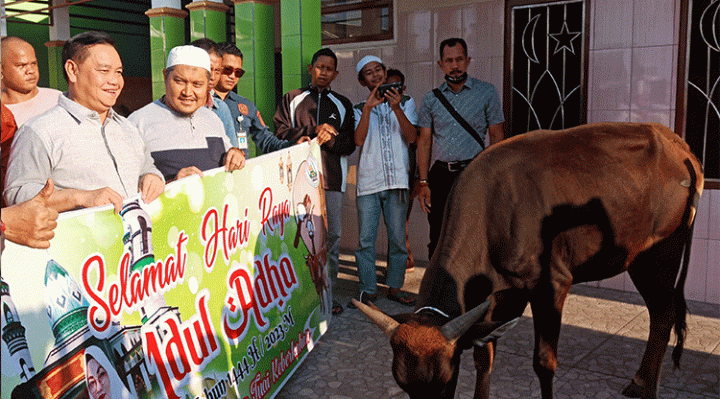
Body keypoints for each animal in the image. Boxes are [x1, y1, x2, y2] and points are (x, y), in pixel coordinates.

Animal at [354, 122, 704, 399]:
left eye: (445, 380)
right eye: (402, 383)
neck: (493, 213)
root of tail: (679, 147)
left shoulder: (552, 285)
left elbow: (544, 363)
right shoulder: (499, 296)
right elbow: (484, 355)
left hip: (660, 253)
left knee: (663, 315)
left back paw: (648, 388)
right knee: (661, 314)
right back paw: (640, 380)